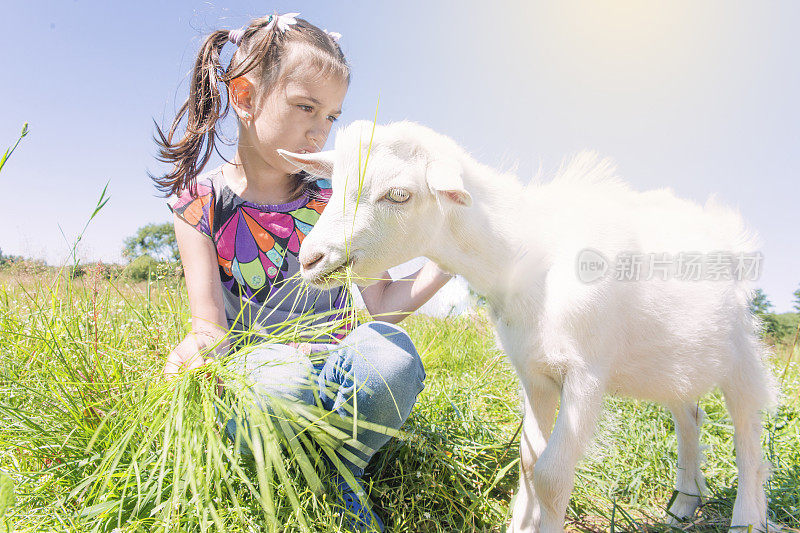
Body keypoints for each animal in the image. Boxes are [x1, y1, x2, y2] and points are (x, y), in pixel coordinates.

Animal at [280, 121, 776, 532]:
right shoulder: (535, 373)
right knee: (689, 416)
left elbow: (552, 475)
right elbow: (528, 462)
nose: (311, 259)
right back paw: (685, 503)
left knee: (748, 438)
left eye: (399, 195)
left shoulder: (586, 374)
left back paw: (746, 519)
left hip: (741, 350)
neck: (528, 256)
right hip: (676, 359)